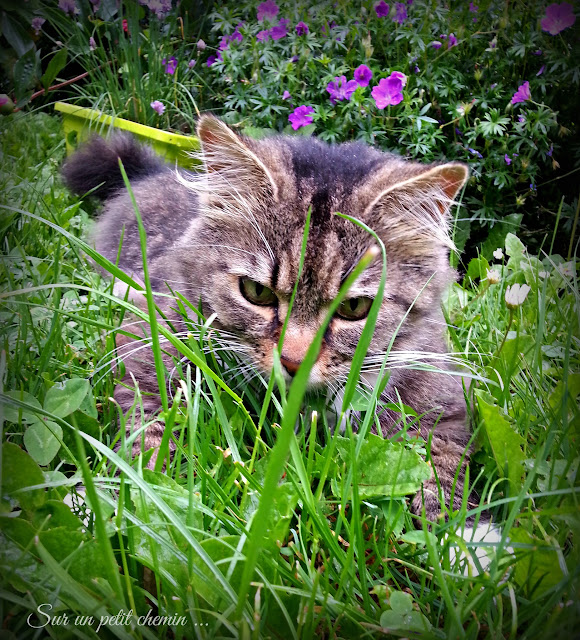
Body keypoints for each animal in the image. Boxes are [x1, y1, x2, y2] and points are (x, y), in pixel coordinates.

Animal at [63, 115, 478, 524]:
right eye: (256, 292)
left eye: (355, 308)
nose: (294, 361)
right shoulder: (150, 346)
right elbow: (148, 439)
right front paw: (137, 503)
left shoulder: (441, 402)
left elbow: (440, 469)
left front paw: (456, 532)